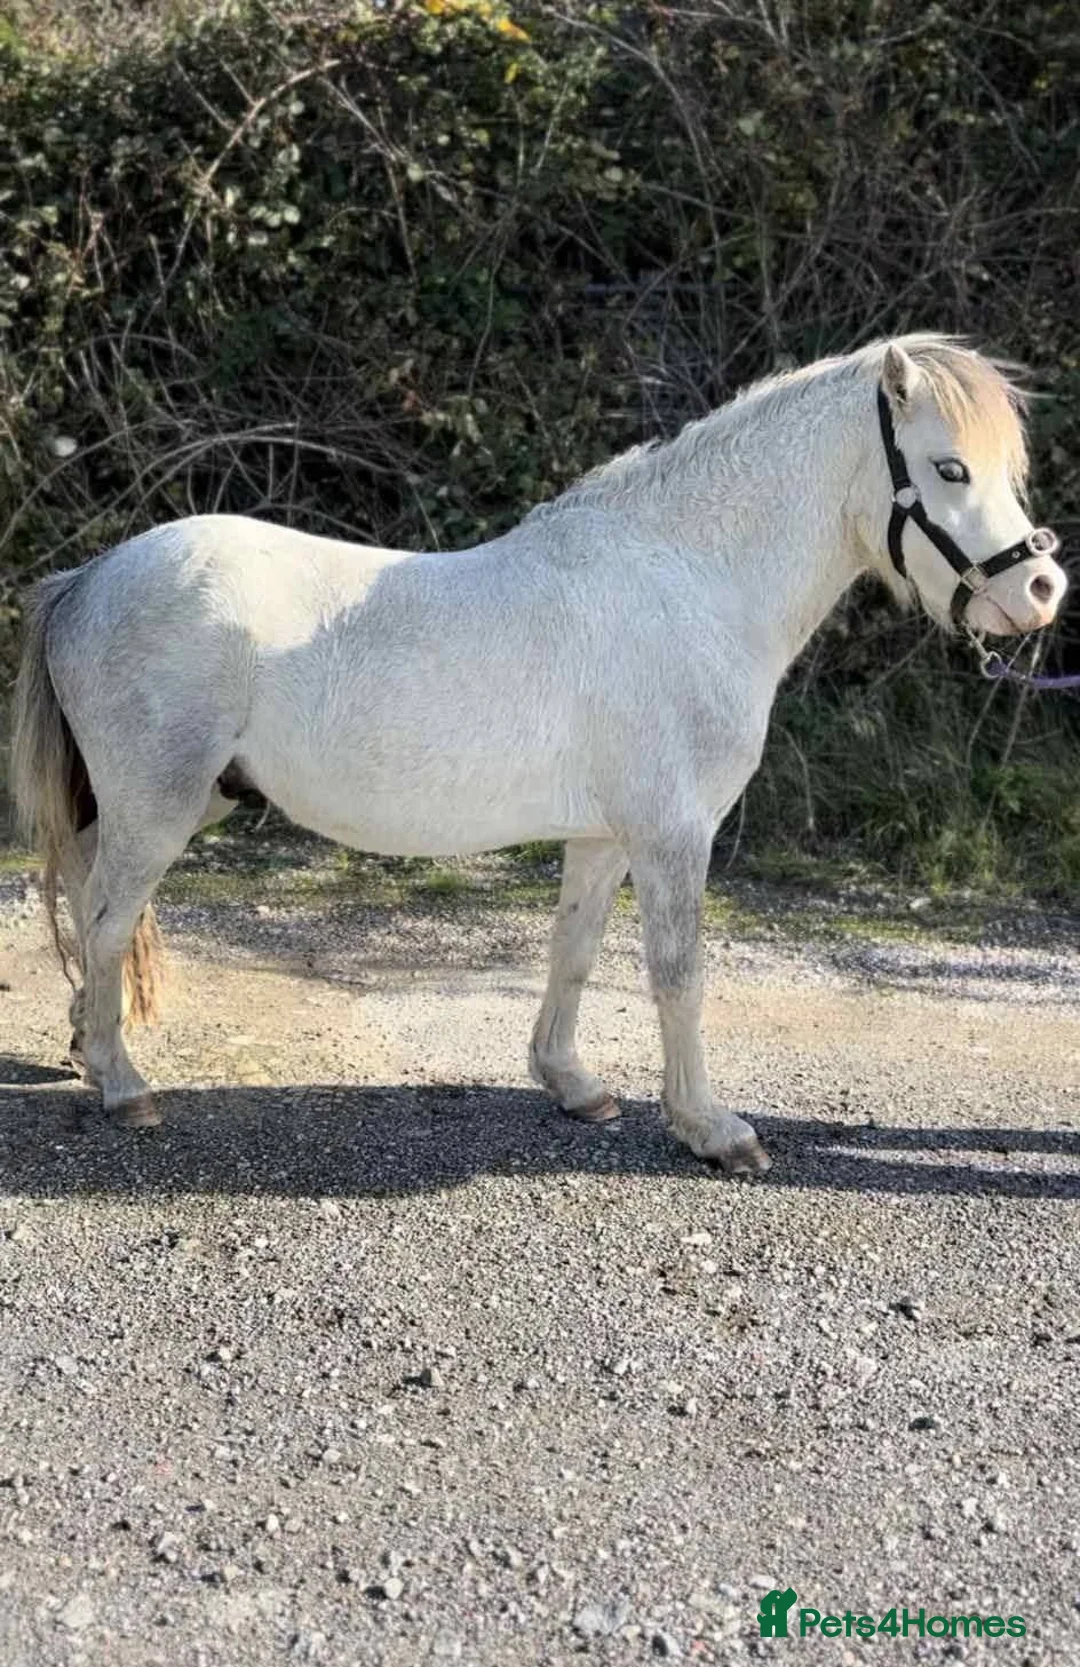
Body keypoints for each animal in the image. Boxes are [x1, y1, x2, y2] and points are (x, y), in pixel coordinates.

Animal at [11, 335, 1067, 1175]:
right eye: (949, 469)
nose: (1042, 591)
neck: (688, 582)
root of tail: (89, 576)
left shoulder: (603, 838)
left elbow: (574, 952)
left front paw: (573, 1083)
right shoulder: (673, 833)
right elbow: (677, 972)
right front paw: (711, 1129)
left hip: (178, 803)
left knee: (89, 906)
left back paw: (87, 1046)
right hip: (160, 807)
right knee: (106, 920)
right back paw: (123, 1086)